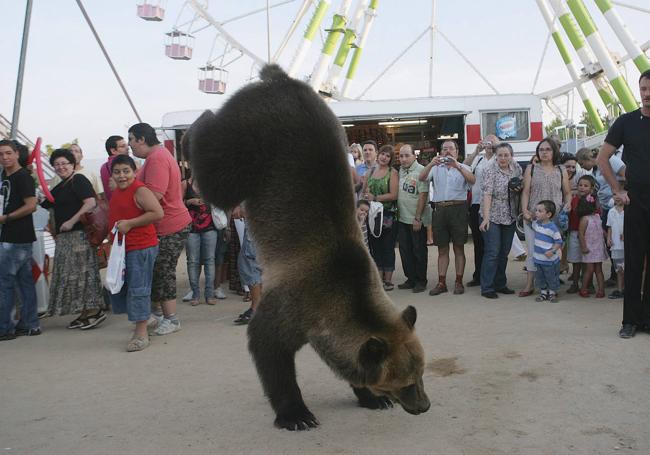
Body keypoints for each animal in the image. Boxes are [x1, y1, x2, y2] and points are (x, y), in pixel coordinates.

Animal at [182, 64, 428, 432]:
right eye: (406, 383)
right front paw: (296, 414)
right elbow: (268, 348)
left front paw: (371, 398)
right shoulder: (296, 303)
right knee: (218, 175)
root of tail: (281, 79)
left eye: (422, 372)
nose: (424, 405)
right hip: (251, 137)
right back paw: (194, 126)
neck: (333, 308)